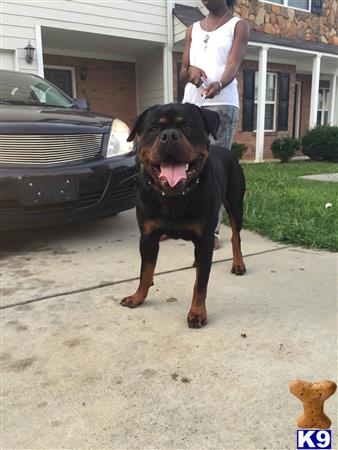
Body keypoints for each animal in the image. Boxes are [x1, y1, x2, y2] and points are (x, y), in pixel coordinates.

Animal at [121, 103, 246, 326]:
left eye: (189, 127)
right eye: (153, 129)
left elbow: (201, 284)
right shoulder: (148, 238)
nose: (169, 135)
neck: (174, 197)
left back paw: (238, 263)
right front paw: (138, 297)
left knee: (235, 236)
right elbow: (145, 272)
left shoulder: (205, 239)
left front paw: (197, 312)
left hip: (235, 205)